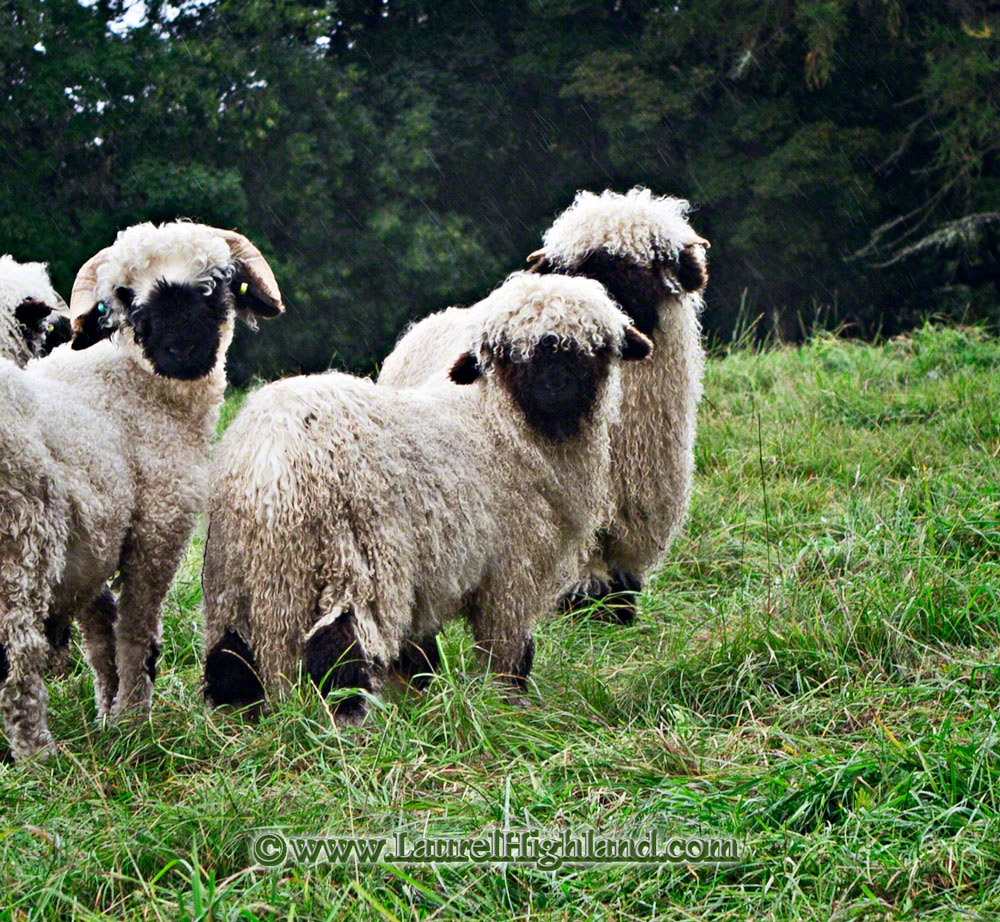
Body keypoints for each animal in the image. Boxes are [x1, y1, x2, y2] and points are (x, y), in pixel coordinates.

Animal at [199, 270, 652, 724]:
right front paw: (510, 705)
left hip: (233, 572)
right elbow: (510, 649)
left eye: (594, 348)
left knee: (230, 657)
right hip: (354, 559)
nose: (554, 387)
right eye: (505, 353)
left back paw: (235, 720)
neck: (500, 425)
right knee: (340, 647)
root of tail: (270, 461)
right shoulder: (511, 573)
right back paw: (350, 721)